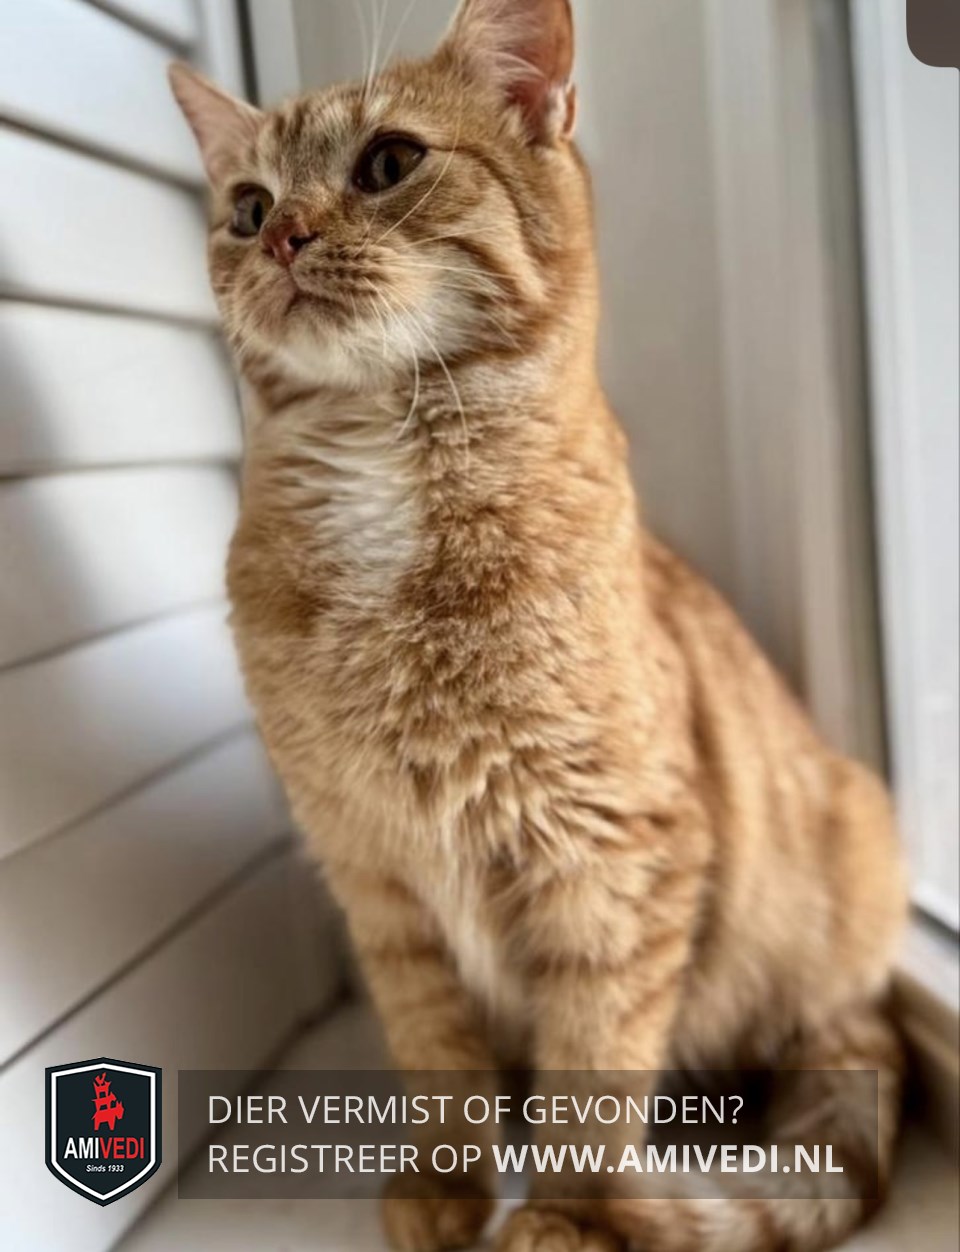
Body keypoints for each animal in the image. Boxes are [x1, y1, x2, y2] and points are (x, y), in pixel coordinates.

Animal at [170, 0, 907, 1248]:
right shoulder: (379, 884)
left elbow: (592, 1068)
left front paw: (563, 1216)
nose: (283, 240)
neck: (384, 479)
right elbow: (439, 1057)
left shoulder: (613, 861)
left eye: (389, 164)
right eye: (249, 207)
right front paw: (449, 1185)